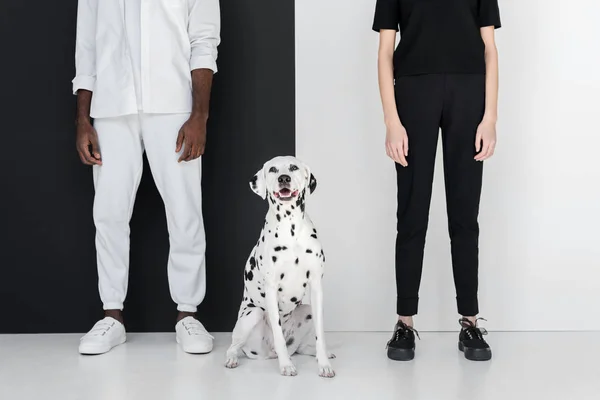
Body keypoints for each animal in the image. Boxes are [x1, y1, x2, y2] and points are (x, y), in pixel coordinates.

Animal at [226, 156, 338, 378]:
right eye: (273, 169)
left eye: (293, 167)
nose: (283, 178)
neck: (290, 226)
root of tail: (267, 353)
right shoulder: (271, 289)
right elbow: (278, 335)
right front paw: (286, 365)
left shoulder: (316, 286)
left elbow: (320, 335)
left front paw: (324, 364)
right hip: (253, 315)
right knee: (234, 346)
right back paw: (233, 358)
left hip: (307, 310)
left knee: (302, 347)